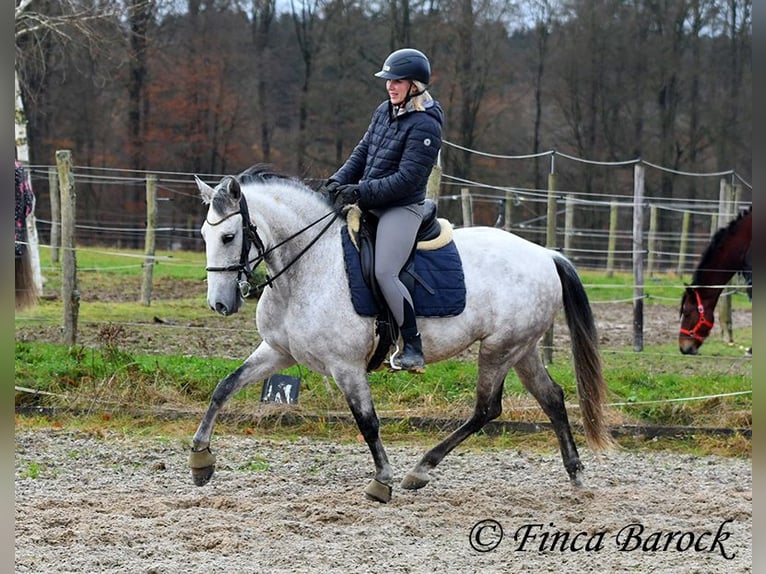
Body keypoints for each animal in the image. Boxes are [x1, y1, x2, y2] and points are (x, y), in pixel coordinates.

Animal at [192, 166, 616, 504]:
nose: (220, 304)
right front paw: (200, 459)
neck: (308, 267)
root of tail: (546, 254)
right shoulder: (278, 351)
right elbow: (224, 387)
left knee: (486, 409)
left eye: (228, 237)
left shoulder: (346, 366)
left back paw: (421, 469)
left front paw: (382, 481)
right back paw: (575, 473)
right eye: (204, 236)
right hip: (522, 348)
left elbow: (367, 421)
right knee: (552, 398)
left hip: (500, 348)